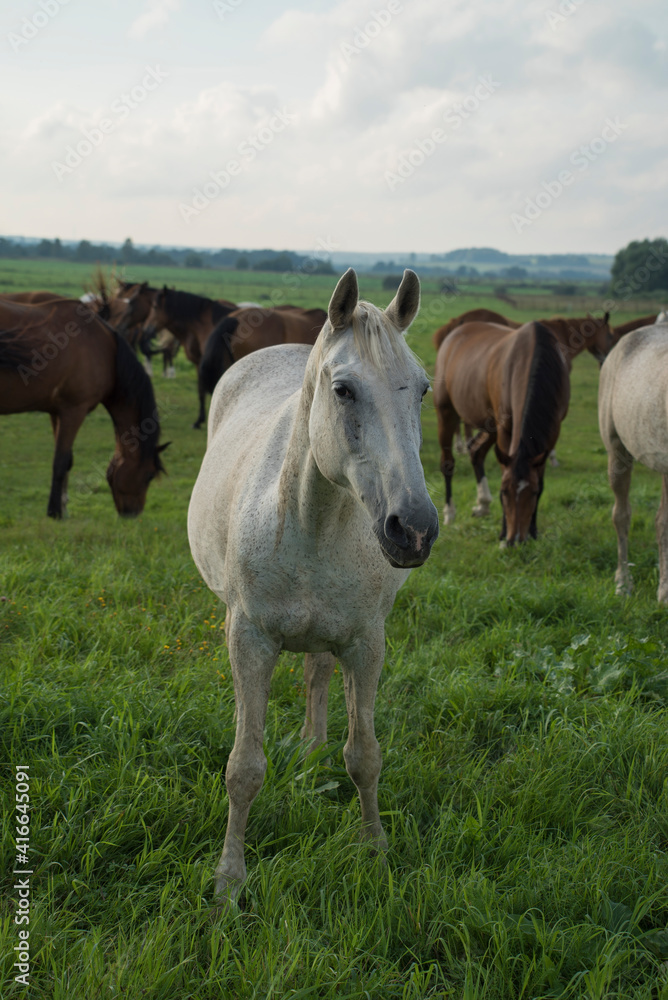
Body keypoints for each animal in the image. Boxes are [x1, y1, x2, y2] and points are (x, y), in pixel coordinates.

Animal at [0, 294, 167, 516]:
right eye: (149, 475)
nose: (134, 513)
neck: (105, 351)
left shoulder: (56, 412)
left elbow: (68, 461)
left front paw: (63, 505)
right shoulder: (74, 412)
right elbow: (61, 462)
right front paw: (55, 511)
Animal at [188, 270, 438, 904]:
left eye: (423, 391)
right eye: (343, 390)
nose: (414, 528)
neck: (310, 519)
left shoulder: (366, 644)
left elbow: (365, 756)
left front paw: (375, 849)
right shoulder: (249, 642)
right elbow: (244, 769)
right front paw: (229, 882)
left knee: (318, 674)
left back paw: (310, 750)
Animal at [434, 322, 568, 544]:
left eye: (533, 493)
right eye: (504, 492)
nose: (516, 540)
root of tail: (454, 334)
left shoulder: (553, 431)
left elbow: (540, 479)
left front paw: (533, 531)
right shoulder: (505, 430)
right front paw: (503, 534)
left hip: (490, 425)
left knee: (476, 451)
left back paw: (482, 504)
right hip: (447, 412)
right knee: (447, 463)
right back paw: (449, 512)